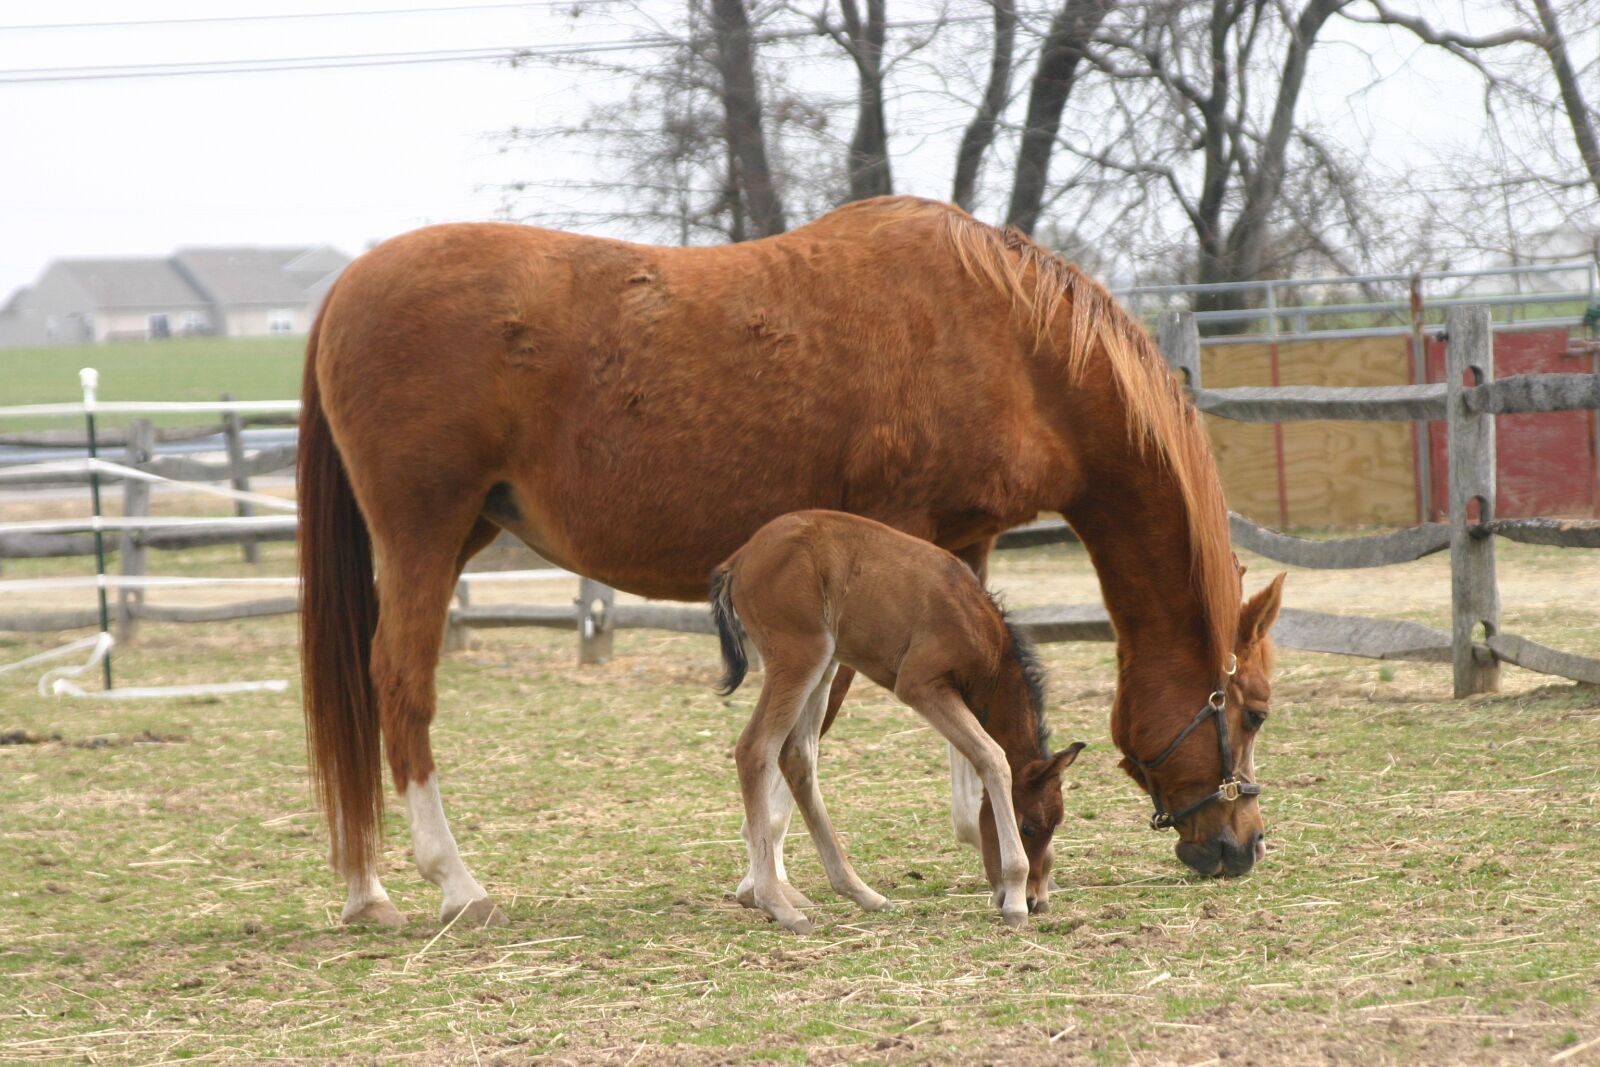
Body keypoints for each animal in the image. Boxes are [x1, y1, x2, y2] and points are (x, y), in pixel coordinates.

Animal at [709, 509, 1086, 932]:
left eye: (1056, 825)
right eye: (1029, 827)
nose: (1036, 901)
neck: (980, 632)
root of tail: (738, 560)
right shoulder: (920, 685)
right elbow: (992, 757)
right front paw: (1016, 899)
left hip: (825, 664)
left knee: (798, 756)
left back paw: (862, 893)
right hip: (800, 656)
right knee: (755, 748)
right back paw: (778, 904)